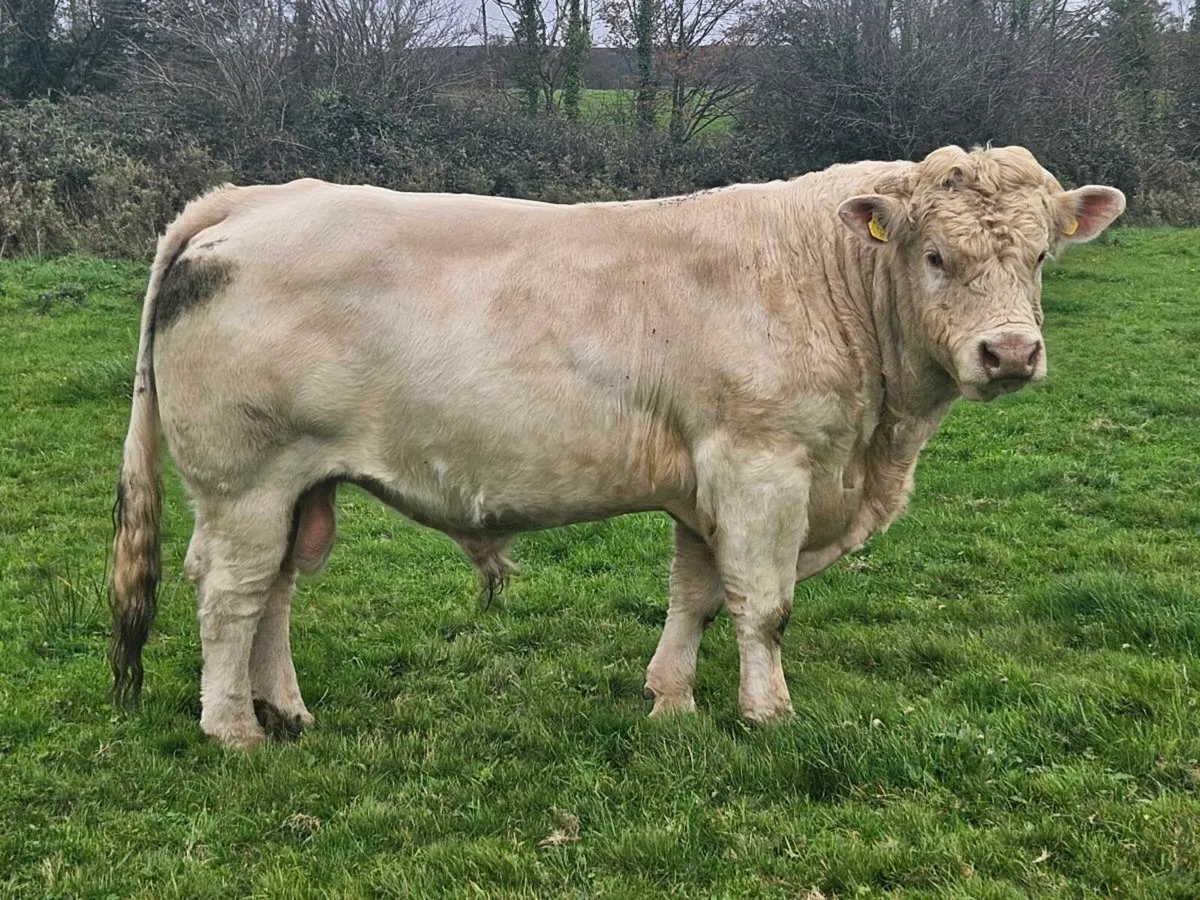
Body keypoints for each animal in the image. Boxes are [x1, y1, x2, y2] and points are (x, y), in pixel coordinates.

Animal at [109, 145, 1125, 748]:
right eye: (935, 257)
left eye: (1040, 256)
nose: (1010, 352)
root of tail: (252, 198)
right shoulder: (764, 467)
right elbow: (764, 606)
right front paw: (768, 713)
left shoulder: (708, 482)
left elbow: (697, 597)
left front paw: (671, 700)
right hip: (245, 481)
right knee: (230, 596)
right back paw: (233, 729)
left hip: (298, 486)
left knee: (273, 592)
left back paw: (284, 709)